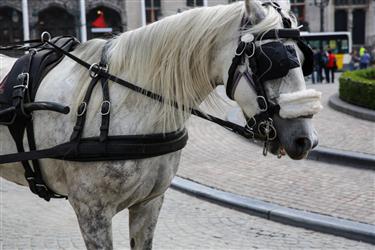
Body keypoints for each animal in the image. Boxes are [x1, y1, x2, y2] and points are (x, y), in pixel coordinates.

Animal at [0, 0, 324, 249]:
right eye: (272, 60)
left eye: (303, 57)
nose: (306, 139)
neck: (123, 100)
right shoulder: (92, 212)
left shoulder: (149, 203)